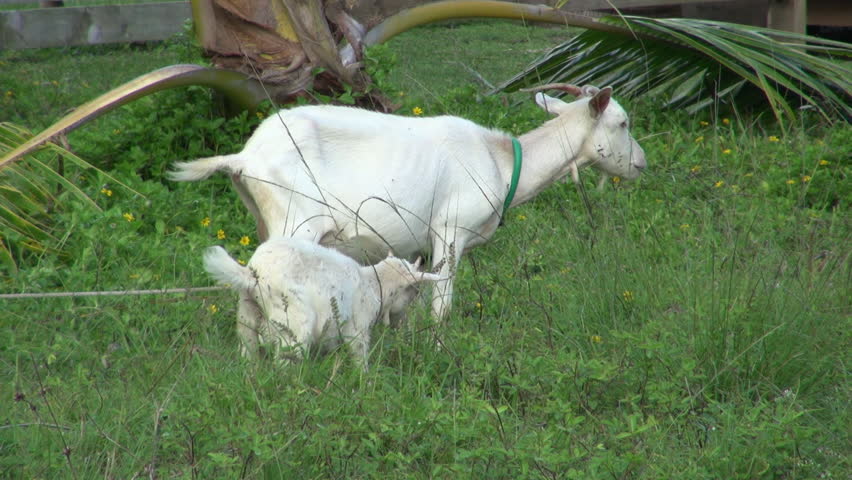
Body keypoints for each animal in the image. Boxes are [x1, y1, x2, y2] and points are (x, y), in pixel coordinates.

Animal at [172, 83, 647, 319]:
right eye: (623, 122)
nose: (642, 164)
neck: (499, 160)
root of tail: (244, 157)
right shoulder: (450, 230)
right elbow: (442, 303)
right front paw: (439, 351)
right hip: (295, 220)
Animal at [203, 238, 440, 369]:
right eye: (414, 290)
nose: (404, 323)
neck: (373, 283)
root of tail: (252, 274)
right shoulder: (357, 328)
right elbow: (359, 354)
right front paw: (363, 380)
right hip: (294, 322)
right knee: (285, 360)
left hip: (247, 314)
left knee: (249, 351)